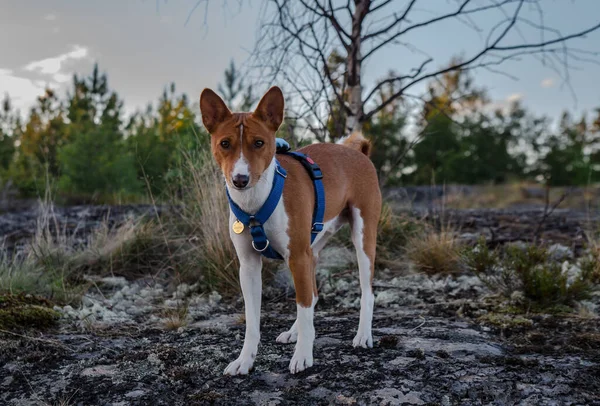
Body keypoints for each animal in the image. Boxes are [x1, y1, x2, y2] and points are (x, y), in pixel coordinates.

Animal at [199, 85, 382, 374]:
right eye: (224, 143)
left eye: (259, 143)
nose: (240, 180)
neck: (255, 202)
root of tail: (359, 152)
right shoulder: (249, 266)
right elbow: (253, 322)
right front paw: (245, 360)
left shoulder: (297, 257)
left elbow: (303, 307)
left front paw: (303, 355)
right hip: (313, 246)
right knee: (314, 293)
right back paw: (294, 332)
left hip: (361, 239)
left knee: (366, 292)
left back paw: (363, 335)